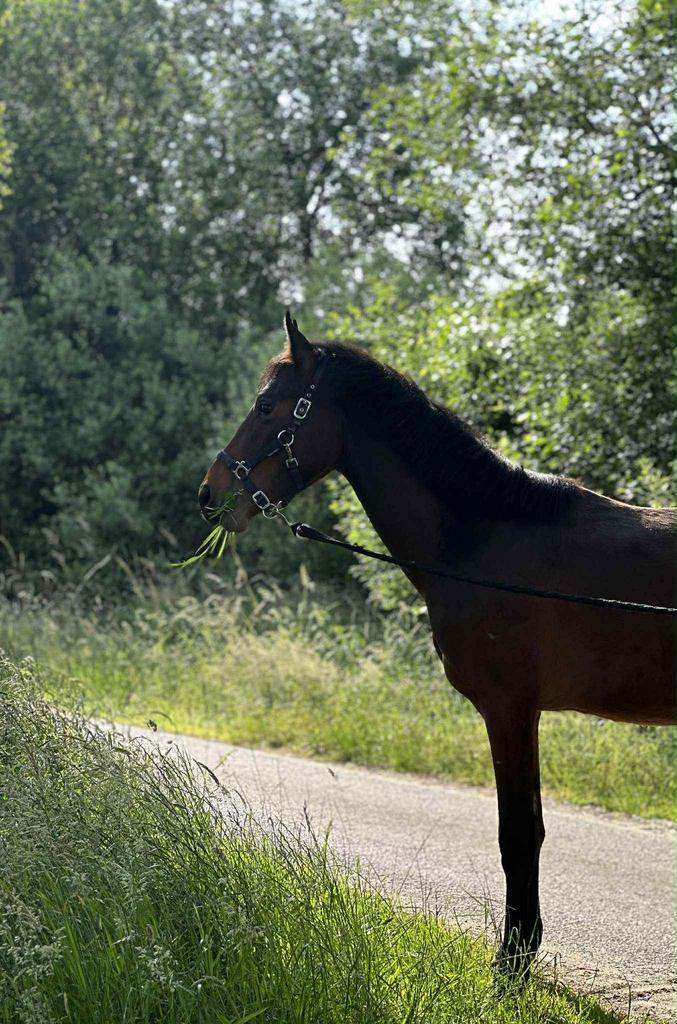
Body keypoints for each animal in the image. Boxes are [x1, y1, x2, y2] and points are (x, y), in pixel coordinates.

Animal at [198, 311, 675, 974]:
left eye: (267, 406)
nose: (210, 494)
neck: (481, 540)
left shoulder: (509, 709)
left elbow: (518, 833)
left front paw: (512, 962)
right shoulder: (518, 712)